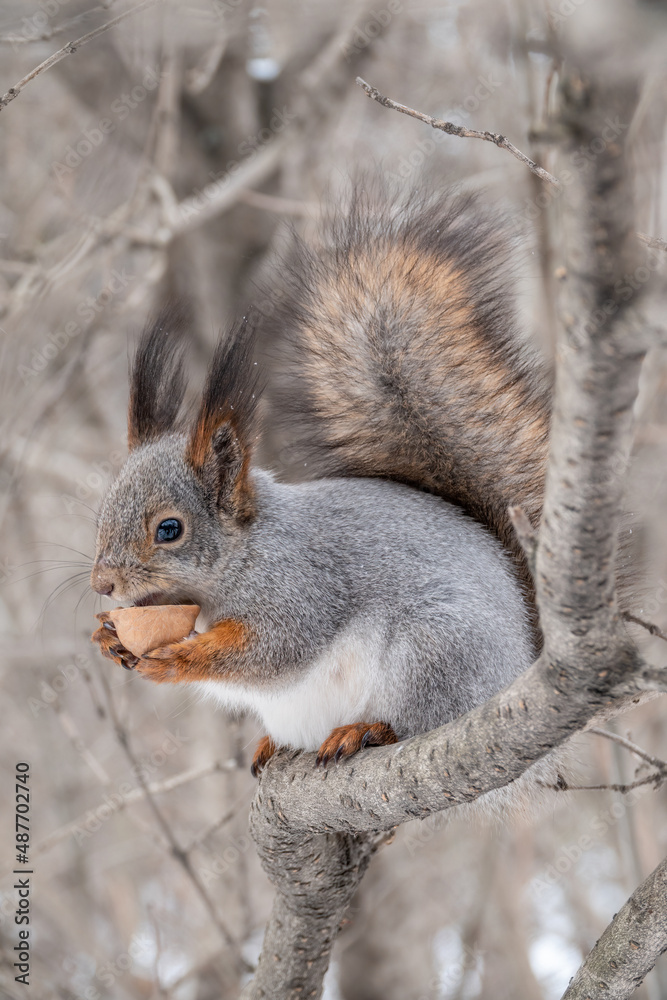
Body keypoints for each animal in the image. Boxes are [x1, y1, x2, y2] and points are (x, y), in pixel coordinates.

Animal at [91, 187, 553, 777]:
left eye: (169, 530)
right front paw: (109, 638)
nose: (102, 584)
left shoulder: (302, 588)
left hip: (437, 648)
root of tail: (520, 661)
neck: (246, 553)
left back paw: (367, 729)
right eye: (102, 514)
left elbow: (271, 649)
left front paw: (177, 657)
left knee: (424, 716)